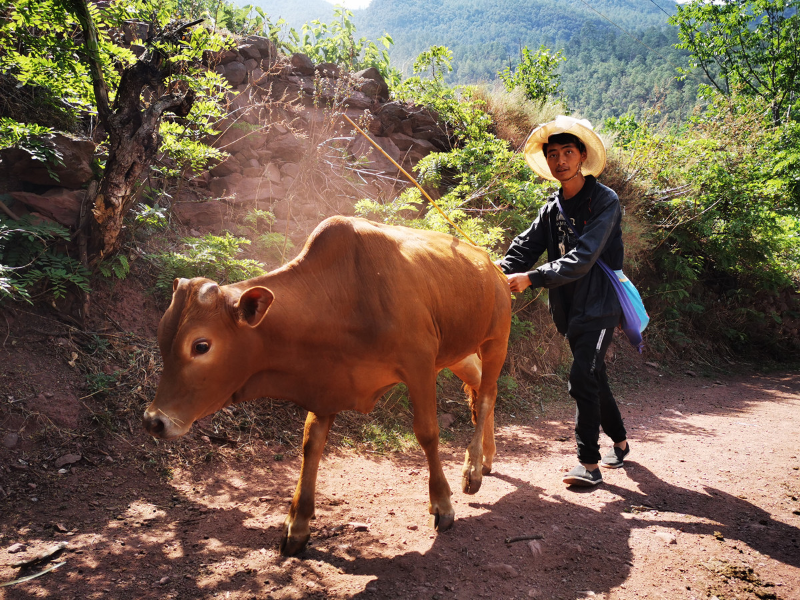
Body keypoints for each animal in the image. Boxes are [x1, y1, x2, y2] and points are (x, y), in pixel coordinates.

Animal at [144, 214, 512, 552]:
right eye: (161, 336)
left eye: (201, 345)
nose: (153, 421)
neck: (346, 295)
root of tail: (492, 266)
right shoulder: (327, 384)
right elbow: (312, 443)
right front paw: (297, 525)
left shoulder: (419, 364)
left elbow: (427, 433)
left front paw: (443, 505)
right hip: (457, 352)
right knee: (483, 388)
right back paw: (486, 458)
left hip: (496, 338)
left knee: (486, 395)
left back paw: (472, 471)